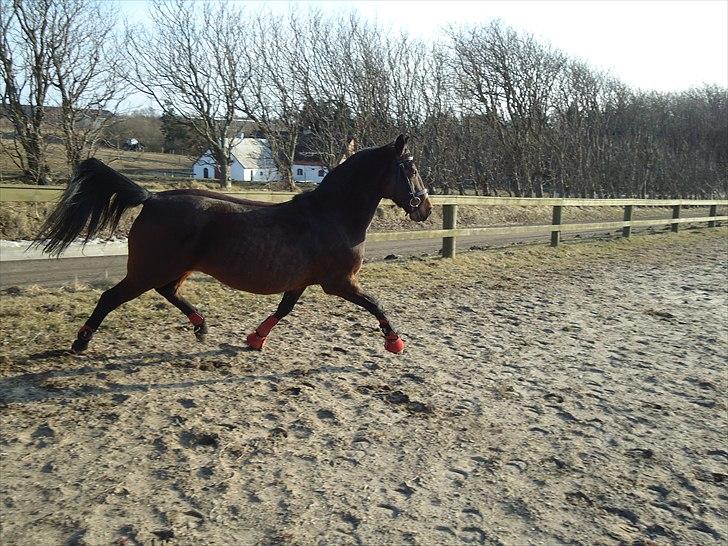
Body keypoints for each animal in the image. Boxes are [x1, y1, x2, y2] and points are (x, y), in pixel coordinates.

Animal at [36, 135, 433, 354]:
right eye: (411, 169)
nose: (425, 209)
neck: (331, 215)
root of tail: (153, 198)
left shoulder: (302, 282)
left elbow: (284, 310)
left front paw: (255, 339)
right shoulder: (339, 283)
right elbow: (375, 304)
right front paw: (395, 342)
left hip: (173, 268)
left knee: (168, 291)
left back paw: (201, 325)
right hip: (148, 270)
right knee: (110, 298)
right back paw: (81, 342)